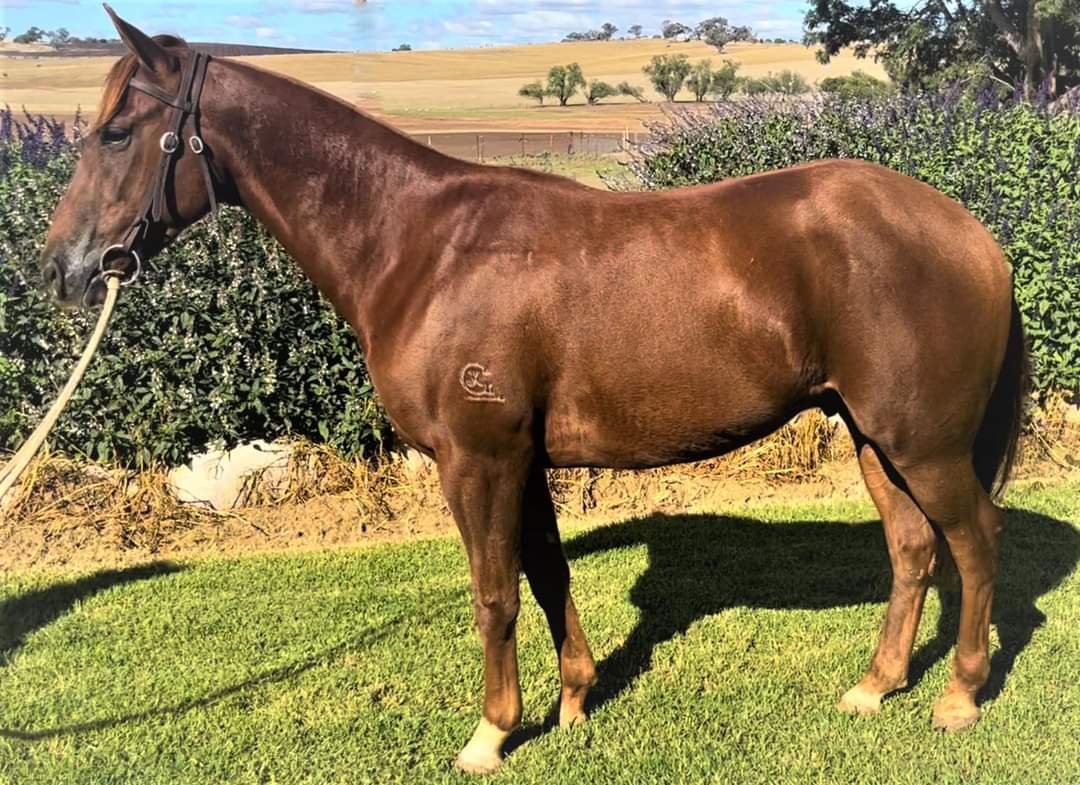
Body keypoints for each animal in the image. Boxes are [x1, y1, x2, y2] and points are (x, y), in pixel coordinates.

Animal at [39, 7, 1027, 774]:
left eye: (116, 133)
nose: (63, 268)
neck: (420, 244)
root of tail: (973, 234)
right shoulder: (524, 460)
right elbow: (547, 572)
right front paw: (577, 698)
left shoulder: (476, 459)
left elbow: (494, 592)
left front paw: (490, 733)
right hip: (872, 434)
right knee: (912, 547)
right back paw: (875, 685)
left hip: (924, 444)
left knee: (974, 541)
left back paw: (959, 695)